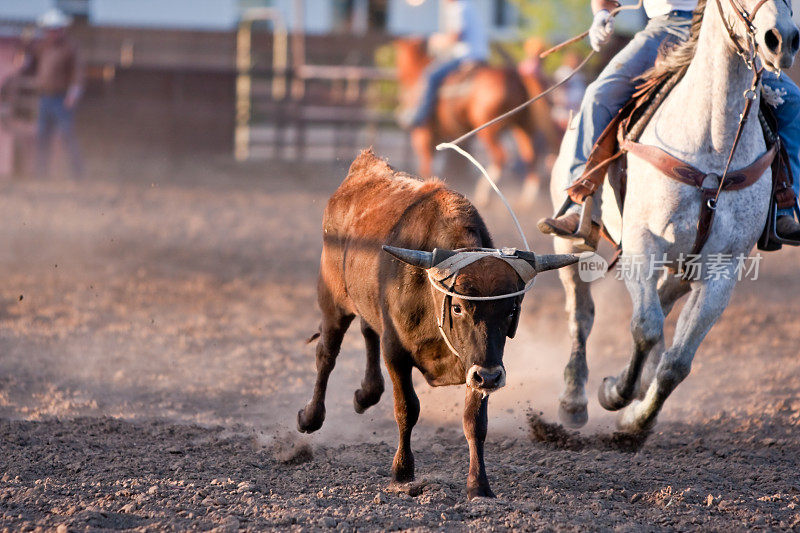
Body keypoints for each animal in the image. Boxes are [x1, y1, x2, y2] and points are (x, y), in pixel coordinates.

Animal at [396, 38, 560, 204]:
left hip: (489, 129)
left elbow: (425, 167)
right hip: (522, 126)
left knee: (501, 156)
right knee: (530, 155)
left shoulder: (423, 135)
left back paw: (484, 194)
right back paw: (528, 198)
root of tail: (516, 75)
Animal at [548, 0, 796, 432]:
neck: (712, 141)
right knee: (582, 314)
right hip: (571, 243)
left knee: (662, 305)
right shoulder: (642, 244)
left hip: (685, 266)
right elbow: (645, 329)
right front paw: (615, 392)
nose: (781, 41)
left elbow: (677, 362)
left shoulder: (723, 268)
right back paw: (574, 400)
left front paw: (636, 420)